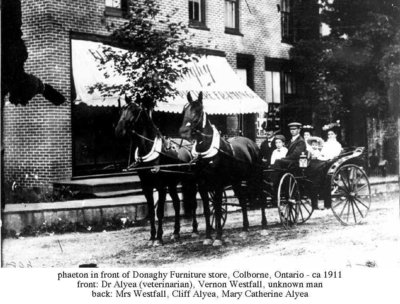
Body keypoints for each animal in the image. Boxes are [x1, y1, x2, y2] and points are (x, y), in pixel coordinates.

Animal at [115, 96, 203, 246]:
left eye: (134, 111)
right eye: (121, 110)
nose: (119, 130)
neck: (150, 150)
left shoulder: (161, 186)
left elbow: (160, 211)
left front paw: (159, 238)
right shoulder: (147, 187)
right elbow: (151, 211)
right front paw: (152, 237)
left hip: (191, 182)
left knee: (193, 203)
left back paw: (195, 230)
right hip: (172, 184)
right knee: (177, 204)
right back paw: (176, 232)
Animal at [180, 91, 268, 246]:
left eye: (198, 110)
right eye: (185, 110)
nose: (183, 132)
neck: (206, 153)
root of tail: (252, 144)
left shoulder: (218, 185)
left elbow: (218, 209)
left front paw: (218, 238)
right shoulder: (203, 186)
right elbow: (208, 210)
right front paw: (208, 237)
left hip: (255, 178)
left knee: (262, 197)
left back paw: (264, 227)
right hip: (237, 182)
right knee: (242, 199)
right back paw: (245, 229)